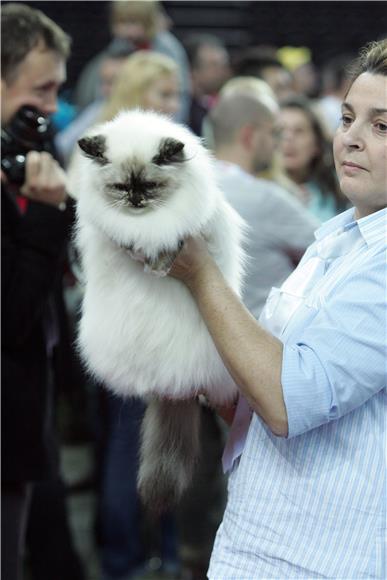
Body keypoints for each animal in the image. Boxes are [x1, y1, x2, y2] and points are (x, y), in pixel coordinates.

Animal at [75, 110, 246, 508]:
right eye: (121, 187)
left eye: (150, 186)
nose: (136, 200)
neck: (147, 223)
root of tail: (169, 382)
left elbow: (170, 244)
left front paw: (159, 265)